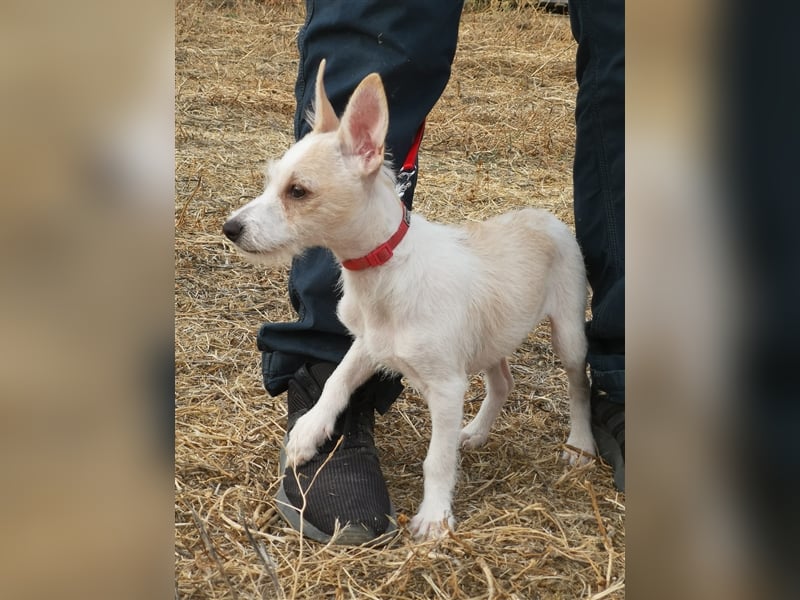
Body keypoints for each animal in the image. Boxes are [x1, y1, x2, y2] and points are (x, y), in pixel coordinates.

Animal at [223, 59, 592, 540]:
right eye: (271, 182)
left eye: (298, 191)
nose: (230, 228)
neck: (384, 272)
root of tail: (545, 215)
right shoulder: (367, 343)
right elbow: (336, 381)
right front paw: (308, 433)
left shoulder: (447, 386)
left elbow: (437, 459)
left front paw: (434, 517)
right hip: (492, 334)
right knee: (502, 382)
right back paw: (476, 432)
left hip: (568, 331)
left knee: (579, 384)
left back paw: (580, 445)